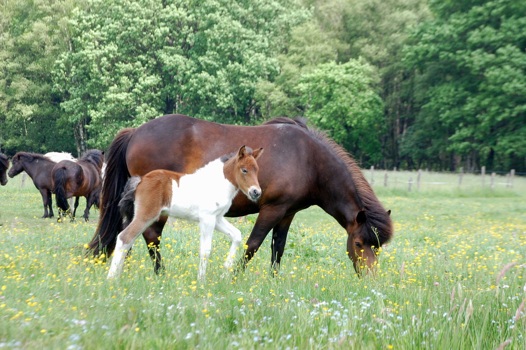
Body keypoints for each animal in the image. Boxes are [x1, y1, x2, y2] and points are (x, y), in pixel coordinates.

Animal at [107, 144, 264, 278]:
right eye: (244, 170)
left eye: (257, 170)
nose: (256, 192)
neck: (217, 183)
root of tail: (141, 180)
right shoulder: (207, 218)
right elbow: (205, 249)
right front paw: (201, 280)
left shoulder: (217, 218)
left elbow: (236, 235)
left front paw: (225, 272)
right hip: (145, 216)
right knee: (124, 237)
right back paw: (111, 278)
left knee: (128, 241)